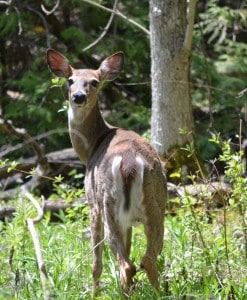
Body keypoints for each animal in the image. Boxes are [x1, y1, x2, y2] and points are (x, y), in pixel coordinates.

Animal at [45, 48, 166, 292]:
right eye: (70, 80)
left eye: (94, 81)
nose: (78, 96)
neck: (92, 145)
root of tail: (129, 163)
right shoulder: (129, 222)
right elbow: (129, 248)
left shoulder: (92, 204)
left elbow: (96, 263)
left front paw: (95, 292)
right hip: (157, 204)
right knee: (146, 259)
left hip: (107, 202)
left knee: (126, 264)